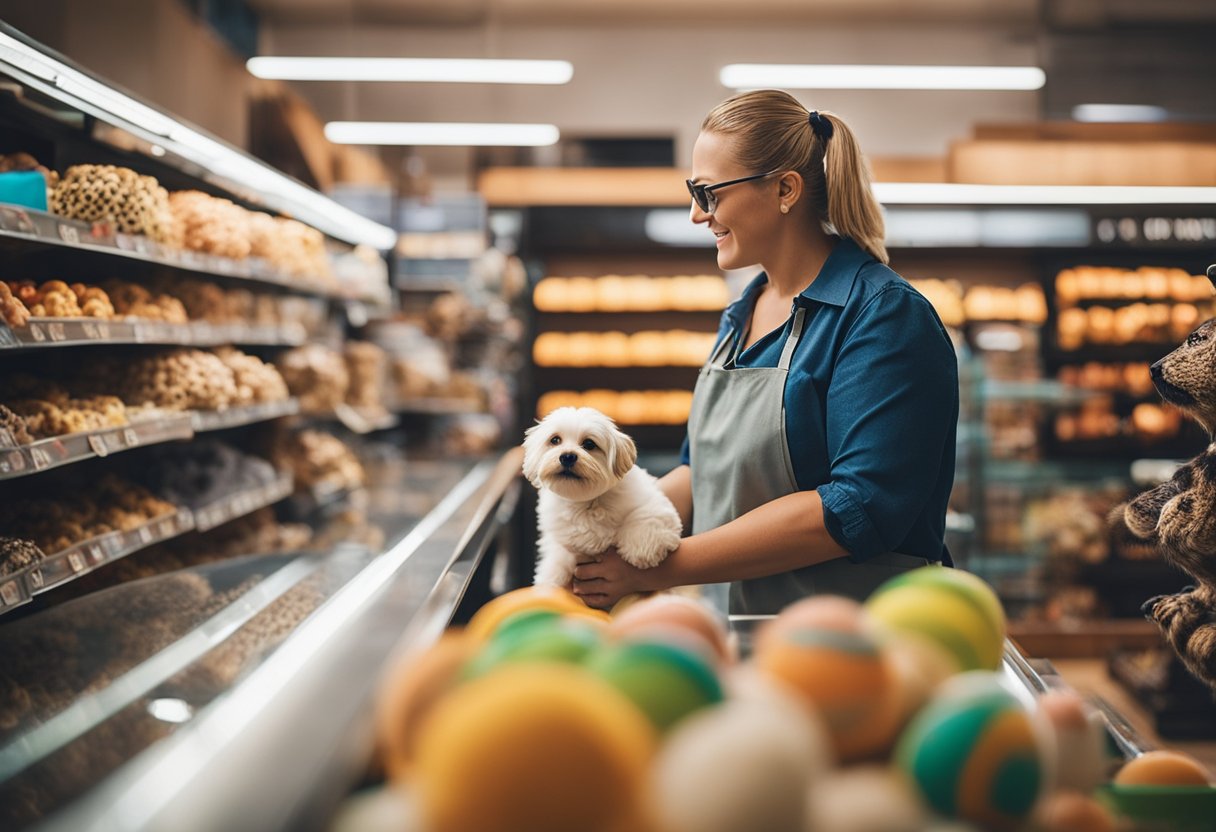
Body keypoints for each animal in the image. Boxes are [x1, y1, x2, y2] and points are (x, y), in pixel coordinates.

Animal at [522, 406, 685, 588]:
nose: (567, 456)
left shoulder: (653, 501)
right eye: (555, 440)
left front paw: (641, 549)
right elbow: (559, 553)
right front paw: (553, 576)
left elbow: (645, 517)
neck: (587, 503)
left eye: (589, 444)